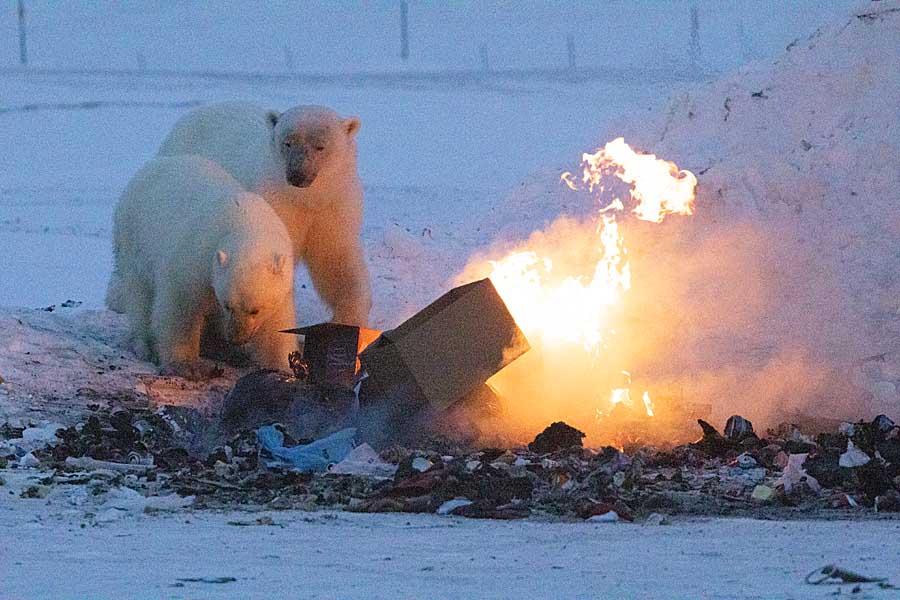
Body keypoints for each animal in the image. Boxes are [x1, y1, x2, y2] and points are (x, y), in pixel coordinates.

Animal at [109, 156, 298, 380]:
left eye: (255, 310)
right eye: (228, 305)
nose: (236, 338)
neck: (245, 224)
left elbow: (276, 323)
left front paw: (282, 366)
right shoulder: (196, 257)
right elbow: (181, 307)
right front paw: (184, 366)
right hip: (134, 238)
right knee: (140, 294)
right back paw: (144, 345)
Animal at [158, 102, 372, 328]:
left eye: (320, 146)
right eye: (287, 143)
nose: (297, 175)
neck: (304, 198)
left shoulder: (334, 205)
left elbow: (336, 260)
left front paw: (349, 318)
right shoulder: (277, 201)